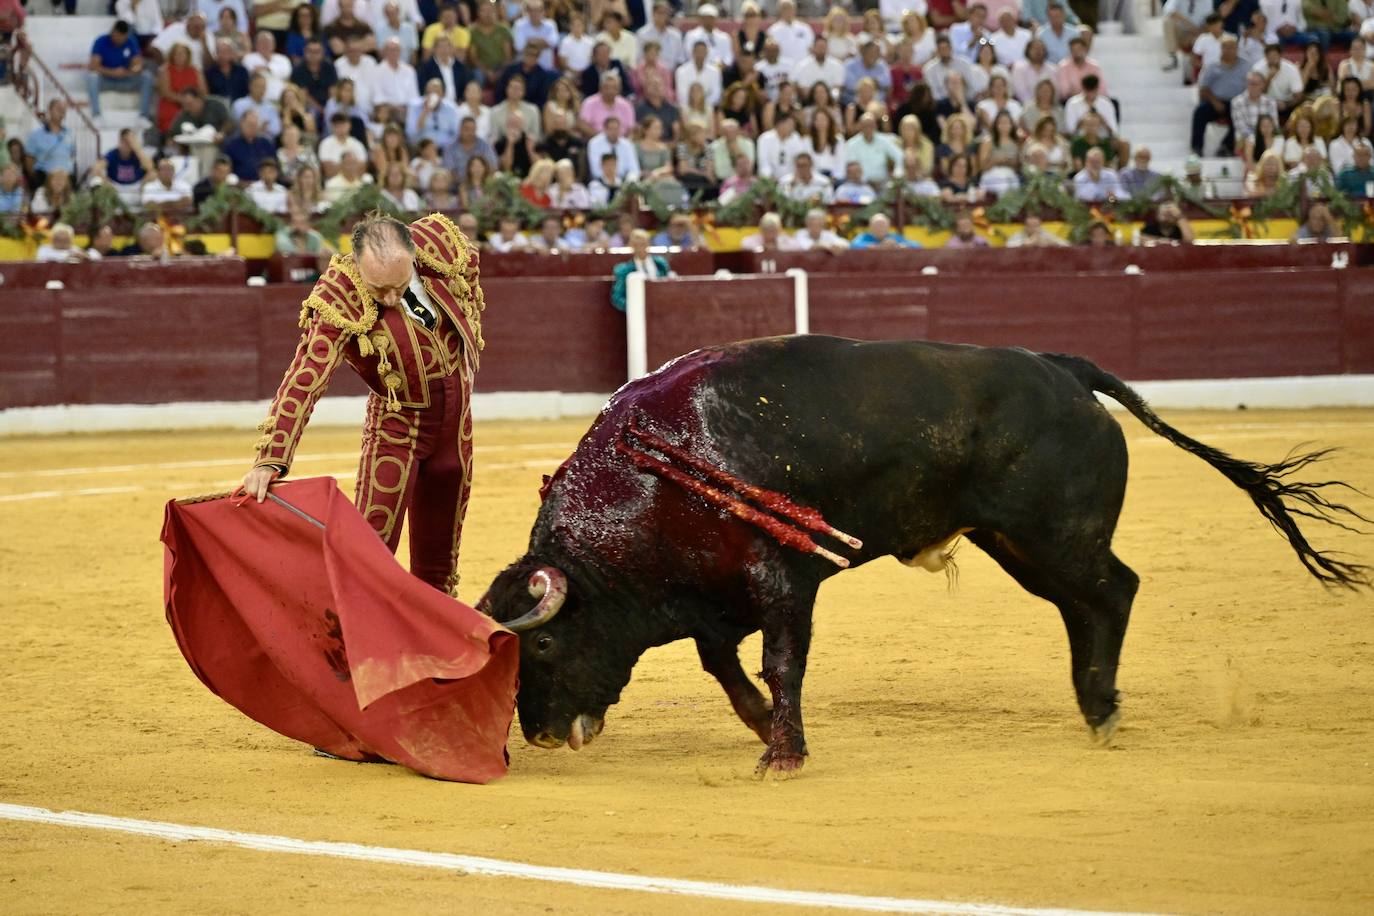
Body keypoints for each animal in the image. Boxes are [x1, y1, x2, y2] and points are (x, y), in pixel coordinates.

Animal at [478, 333, 1368, 780]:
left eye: (544, 646)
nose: (541, 735)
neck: (647, 478)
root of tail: (1063, 368)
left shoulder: (782, 579)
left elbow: (776, 661)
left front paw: (784, 754)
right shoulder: (714, 596)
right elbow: (723, 667)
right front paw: (765, 727)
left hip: (1053, 534)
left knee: (1114, 591)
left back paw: (1103, 709)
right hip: (1019, 543)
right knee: (1091, 603)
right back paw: (1096, 705)